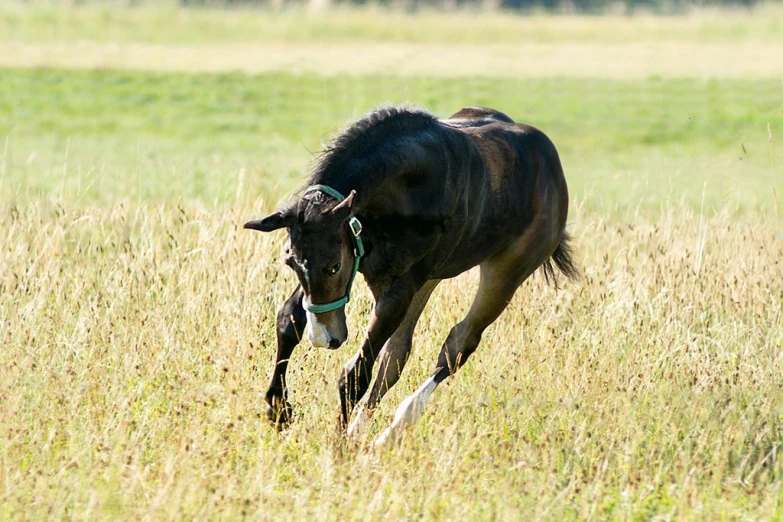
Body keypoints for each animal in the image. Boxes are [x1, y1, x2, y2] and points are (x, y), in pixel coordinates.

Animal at [248, 104, 580, 442]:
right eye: (289, 262)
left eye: (334, 266)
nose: (325, 339)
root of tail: (554, 169)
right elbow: (289, 319)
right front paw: (278, 408)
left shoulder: (396, 290)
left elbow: (356, 374)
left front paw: (337, 446)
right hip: (429, 279)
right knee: (397, 353)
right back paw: (366, 433)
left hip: (506, 273)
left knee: (459, 344)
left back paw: (393, 429)